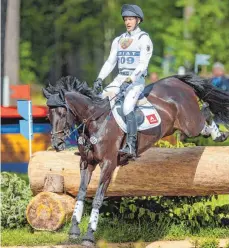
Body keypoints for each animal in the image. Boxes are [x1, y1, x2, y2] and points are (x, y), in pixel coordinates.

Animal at [43, 74, 229, 247]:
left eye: (62, 113)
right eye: (48, 117)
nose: (57, 144)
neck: (96, 122)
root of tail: (176, 80)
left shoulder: (108, 164)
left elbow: (97, 198)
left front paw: (89, 236)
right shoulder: (86, 163)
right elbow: (81, 194)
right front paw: (74, 231)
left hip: (190, 125)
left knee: (205, 114)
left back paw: (219, 134)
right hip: (177, 127)